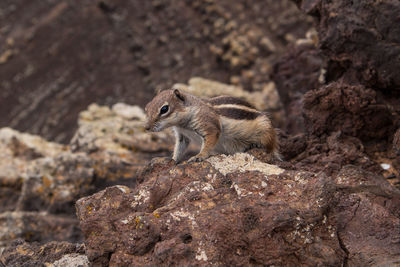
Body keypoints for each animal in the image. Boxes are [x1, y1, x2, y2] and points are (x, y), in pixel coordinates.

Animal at [144, 89, 278, 163]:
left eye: (164, 109)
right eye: (147, 106)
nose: (146, 127)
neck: (182, 125)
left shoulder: (209, 125)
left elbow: (209, 141)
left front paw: (199, 156)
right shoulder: (182, 135)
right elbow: (179, 147)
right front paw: (172, 159)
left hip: (265, 128)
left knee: (270, 147)